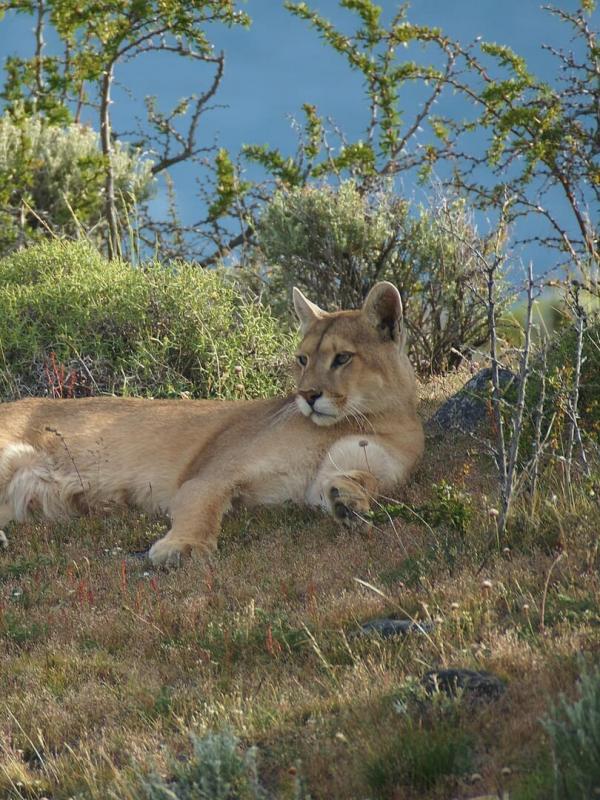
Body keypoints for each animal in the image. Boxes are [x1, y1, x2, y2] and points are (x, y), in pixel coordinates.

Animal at [0, 281, 423, 567]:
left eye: (342, 358)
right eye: (302, 359)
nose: (307, 395)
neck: (367, 418)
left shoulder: (345, 469)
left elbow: (356, 479)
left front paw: (349, 502)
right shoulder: (215, 472)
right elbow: (201, 505)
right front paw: (183, 547)